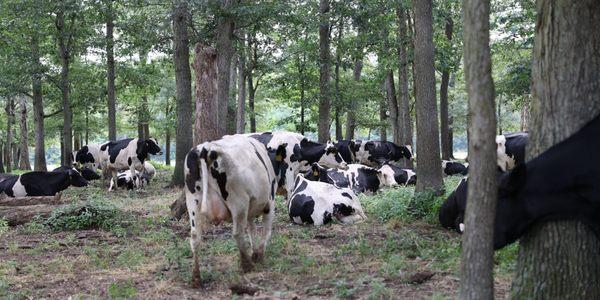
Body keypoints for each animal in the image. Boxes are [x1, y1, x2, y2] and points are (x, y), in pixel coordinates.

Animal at [185, 135, 276, 286]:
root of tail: (206, 147)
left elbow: (252, 230)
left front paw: (255, 253)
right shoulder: (270, 202)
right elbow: (266, 232)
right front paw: (260, 256)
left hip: (193, 203)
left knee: (195, 238)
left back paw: (196, 277)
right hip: (238, 202)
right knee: (237, 233)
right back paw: (247, 265)